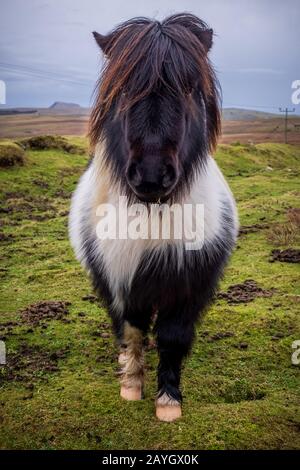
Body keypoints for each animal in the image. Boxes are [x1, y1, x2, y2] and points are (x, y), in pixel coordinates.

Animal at [69, 13, 238, 422]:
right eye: (123, 91)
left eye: (190, 89)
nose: (150, 175)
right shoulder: (119, 276)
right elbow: (131, 329)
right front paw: (131, 385)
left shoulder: (190, 280)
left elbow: (173, 337)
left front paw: (168, 401)